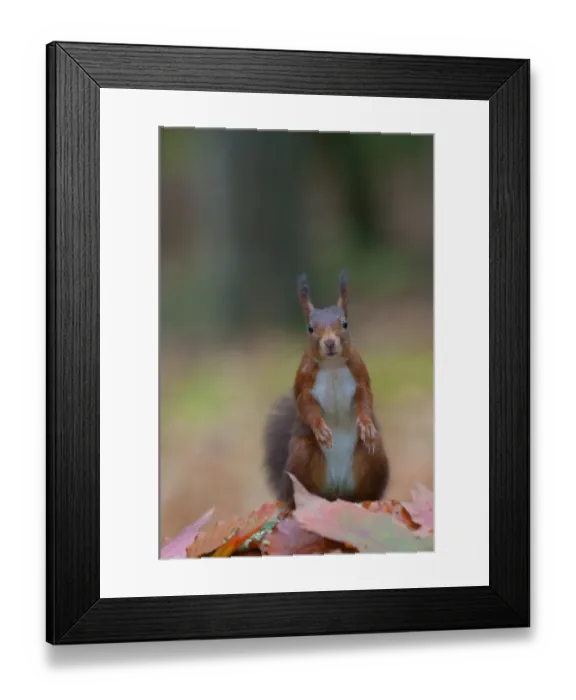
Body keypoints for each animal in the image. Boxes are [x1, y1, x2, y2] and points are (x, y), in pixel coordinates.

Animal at [263, 270, 390, 508]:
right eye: (310, 328)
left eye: (345, 323)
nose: (330, 343)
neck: (332, 366)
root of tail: (336, 491)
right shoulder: (305, 382)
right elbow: (306, 406)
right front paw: (320, 429)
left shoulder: (360, 376)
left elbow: (365, 399)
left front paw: (366, 424)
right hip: (301, 458)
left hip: (374, 459)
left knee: (366, 491)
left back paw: (366, 502)